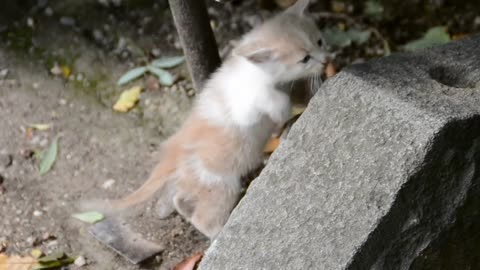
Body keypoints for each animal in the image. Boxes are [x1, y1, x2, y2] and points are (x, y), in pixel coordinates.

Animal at [88, 0, 328, 240]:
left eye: (319, 41)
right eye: (304, 59)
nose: (326, 61)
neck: (255, 70)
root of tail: (171, 154)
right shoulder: (244, 107)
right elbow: (271, 99)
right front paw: (285, 112)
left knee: (180, 199)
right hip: (221, 186)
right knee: (202, 218)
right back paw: (218, 234)